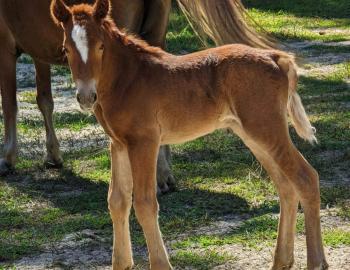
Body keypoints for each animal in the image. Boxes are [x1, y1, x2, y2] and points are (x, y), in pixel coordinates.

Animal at [0, 0, 270, 194]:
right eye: (65, 49)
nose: (86, 97)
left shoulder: (5, 46)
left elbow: (10, 104)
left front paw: (8, 156)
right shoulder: (38, 48)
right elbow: (44, 99)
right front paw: (53, 155)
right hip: (155, 32)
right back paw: (163, 174)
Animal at [51, 0, 328, 270]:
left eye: (100, 46)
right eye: (66, 49)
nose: (86, 97)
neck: (128, 79)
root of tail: (276, 57)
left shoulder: (144, 142)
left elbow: (144, 202)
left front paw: (161, 264)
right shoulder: (118, 143)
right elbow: (117, 201)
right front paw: (121, 263)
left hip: (266, 128)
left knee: (306, 178)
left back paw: (316, 262)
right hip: (254, 135)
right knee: (286, 187)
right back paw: (282, 261)